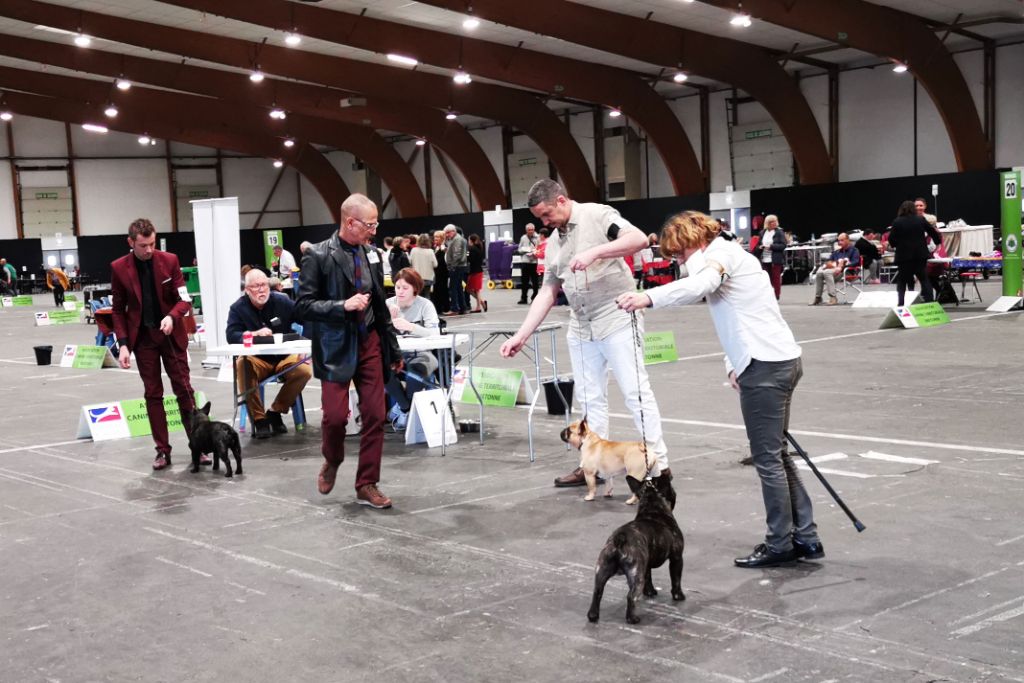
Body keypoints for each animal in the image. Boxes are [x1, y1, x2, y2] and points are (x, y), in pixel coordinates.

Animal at [587, 476, 685, 624]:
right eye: (672, 491)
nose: (675, 493)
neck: (652, 508)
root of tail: (619, 540)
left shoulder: (647, 563)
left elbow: (649, 577)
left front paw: (650, 592)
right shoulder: (677, 558)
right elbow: (676, 579)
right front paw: (678, 596)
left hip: (602, 568)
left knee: (597, 591)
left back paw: (593, 615)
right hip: (636, 575)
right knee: (631, 596)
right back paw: (632, 618)